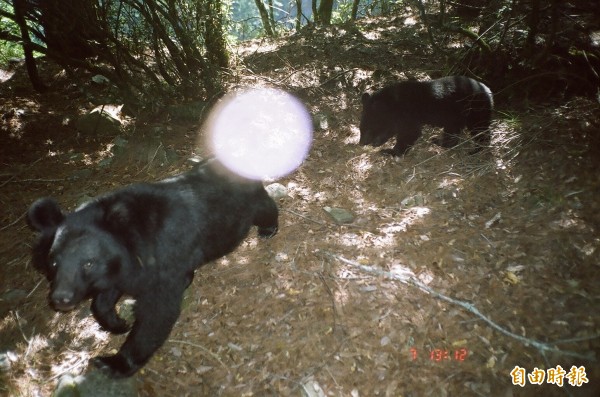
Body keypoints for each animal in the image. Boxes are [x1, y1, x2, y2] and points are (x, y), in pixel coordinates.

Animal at [27, 159, 280, 378]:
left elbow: (157, 312)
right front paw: (118, 323)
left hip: (246, 203)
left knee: (263, 207)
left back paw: (269, 228)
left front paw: (113, 362)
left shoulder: (163, 256)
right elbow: (105, 297)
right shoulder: (124, 268)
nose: (61, 298)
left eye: (88, 262)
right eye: (53, 262)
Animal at [360, 75, 492, 155]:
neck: (393, 102)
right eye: (361, 128)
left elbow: (410, 132)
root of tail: (488, 91)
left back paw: (476, 150)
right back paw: (439, 141)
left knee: (479, 129)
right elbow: (391, 129)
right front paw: (379, 142)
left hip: (475, 109)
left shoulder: (408, 113)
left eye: (368, 128)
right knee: (453, 130)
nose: (361, 142)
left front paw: (390, 151)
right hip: (456, 115)